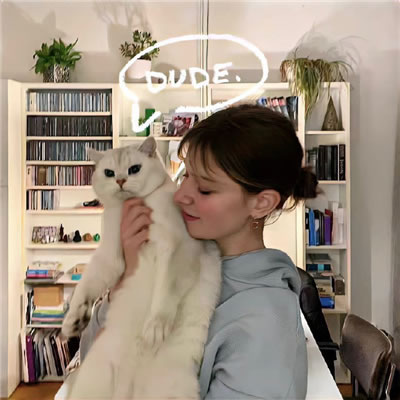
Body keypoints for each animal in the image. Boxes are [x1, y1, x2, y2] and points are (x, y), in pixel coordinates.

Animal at [61, 137, 222, 399]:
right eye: (109, 172)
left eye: (134, 169)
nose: (120, 180)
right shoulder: (110, 256)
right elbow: (85, 286)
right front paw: (73, 321)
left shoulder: (178, 248)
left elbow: (165, 291)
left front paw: (154, 328)